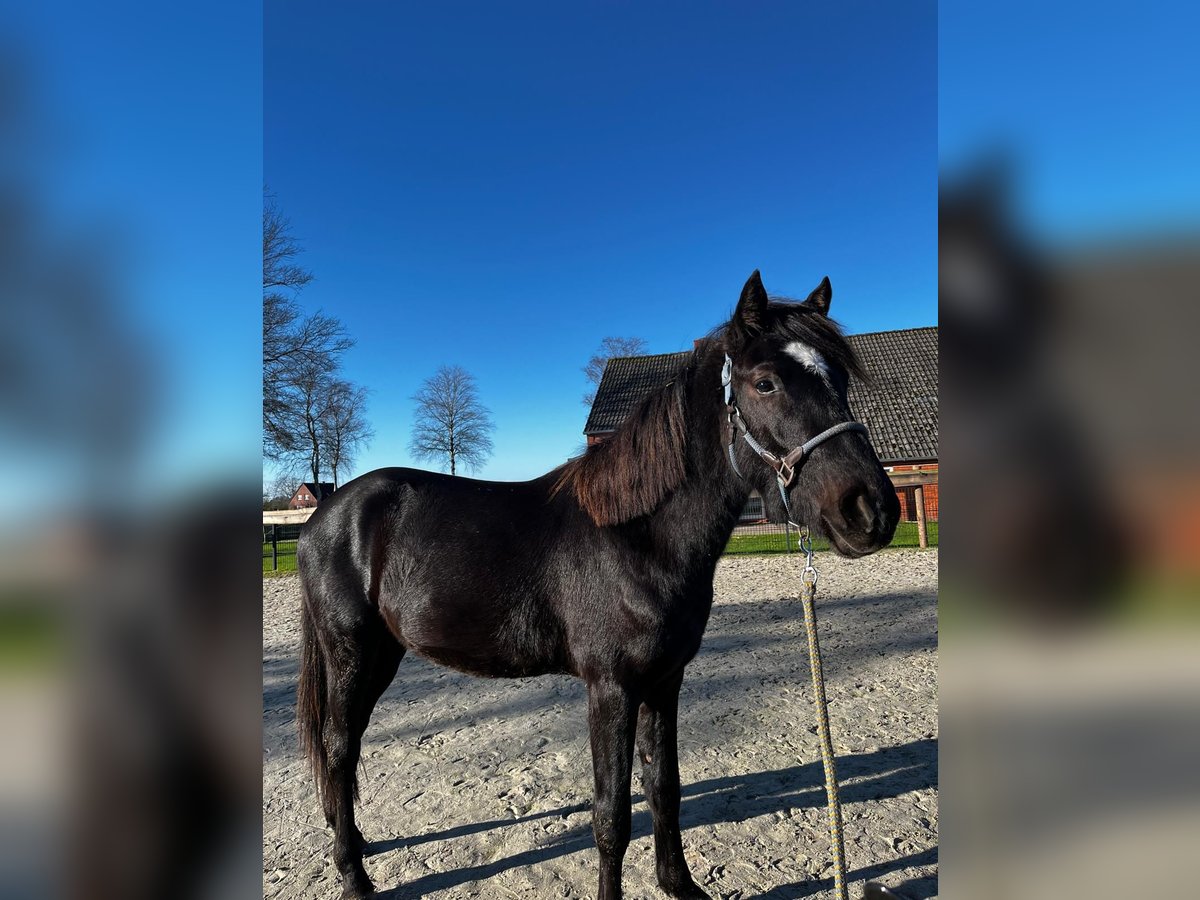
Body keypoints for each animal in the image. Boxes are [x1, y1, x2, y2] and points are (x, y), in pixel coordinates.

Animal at [297, 271, 902, 897]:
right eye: (765, 383)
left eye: (839, 380)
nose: (872, 510)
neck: (634, 538)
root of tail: (323, 518)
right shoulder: (611, 688)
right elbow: (610, 816)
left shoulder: (664, 681)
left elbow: (664, 789)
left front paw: (679, 884)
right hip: (350, 651)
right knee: (338, 747)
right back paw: (353, 875)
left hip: (383, 654)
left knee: (349, 746)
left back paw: (356, 844)